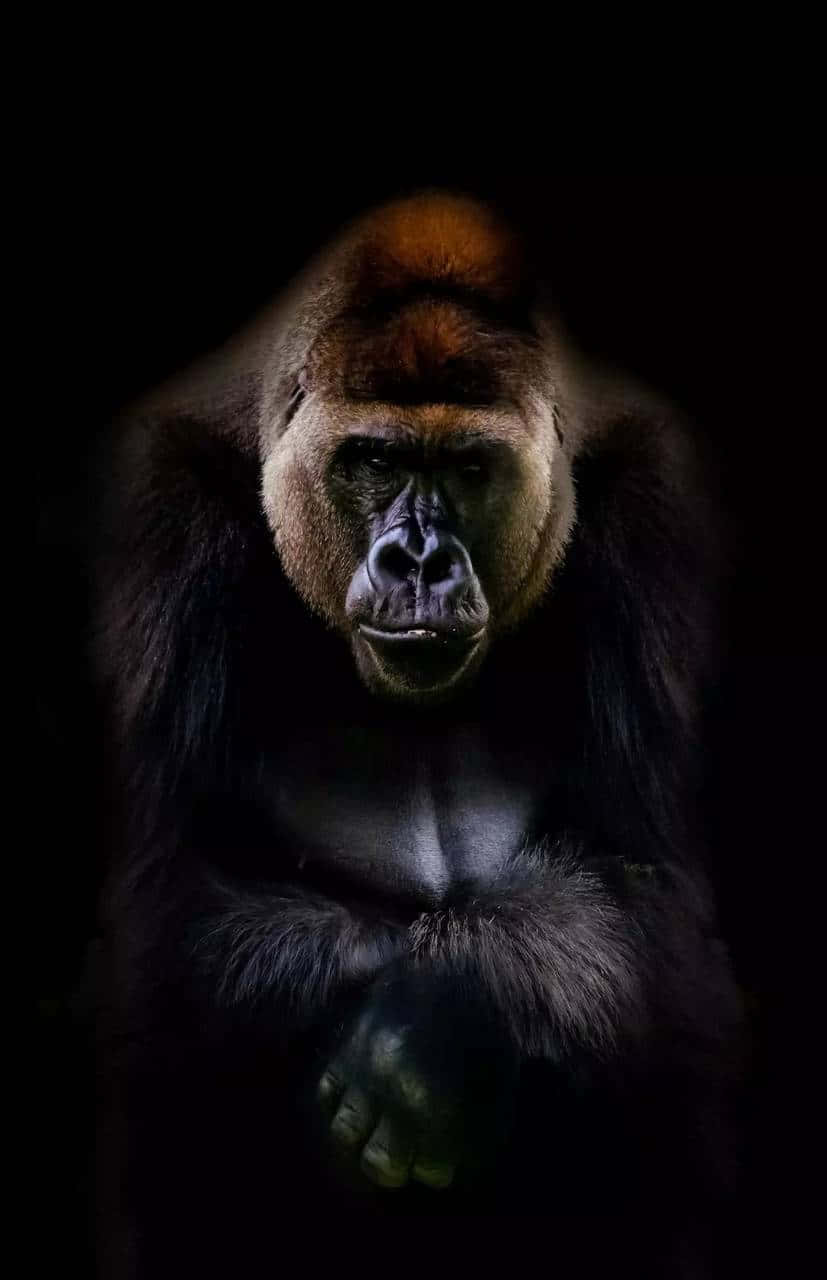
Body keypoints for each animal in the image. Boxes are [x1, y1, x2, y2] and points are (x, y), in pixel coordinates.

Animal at [93, 193, 744, 1278]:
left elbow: (647, 891)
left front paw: (439, 1022)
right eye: (376, 460)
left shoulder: (652, 500)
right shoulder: (155, 512)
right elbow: (159, 918)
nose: (421, 560)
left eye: (468, 467)